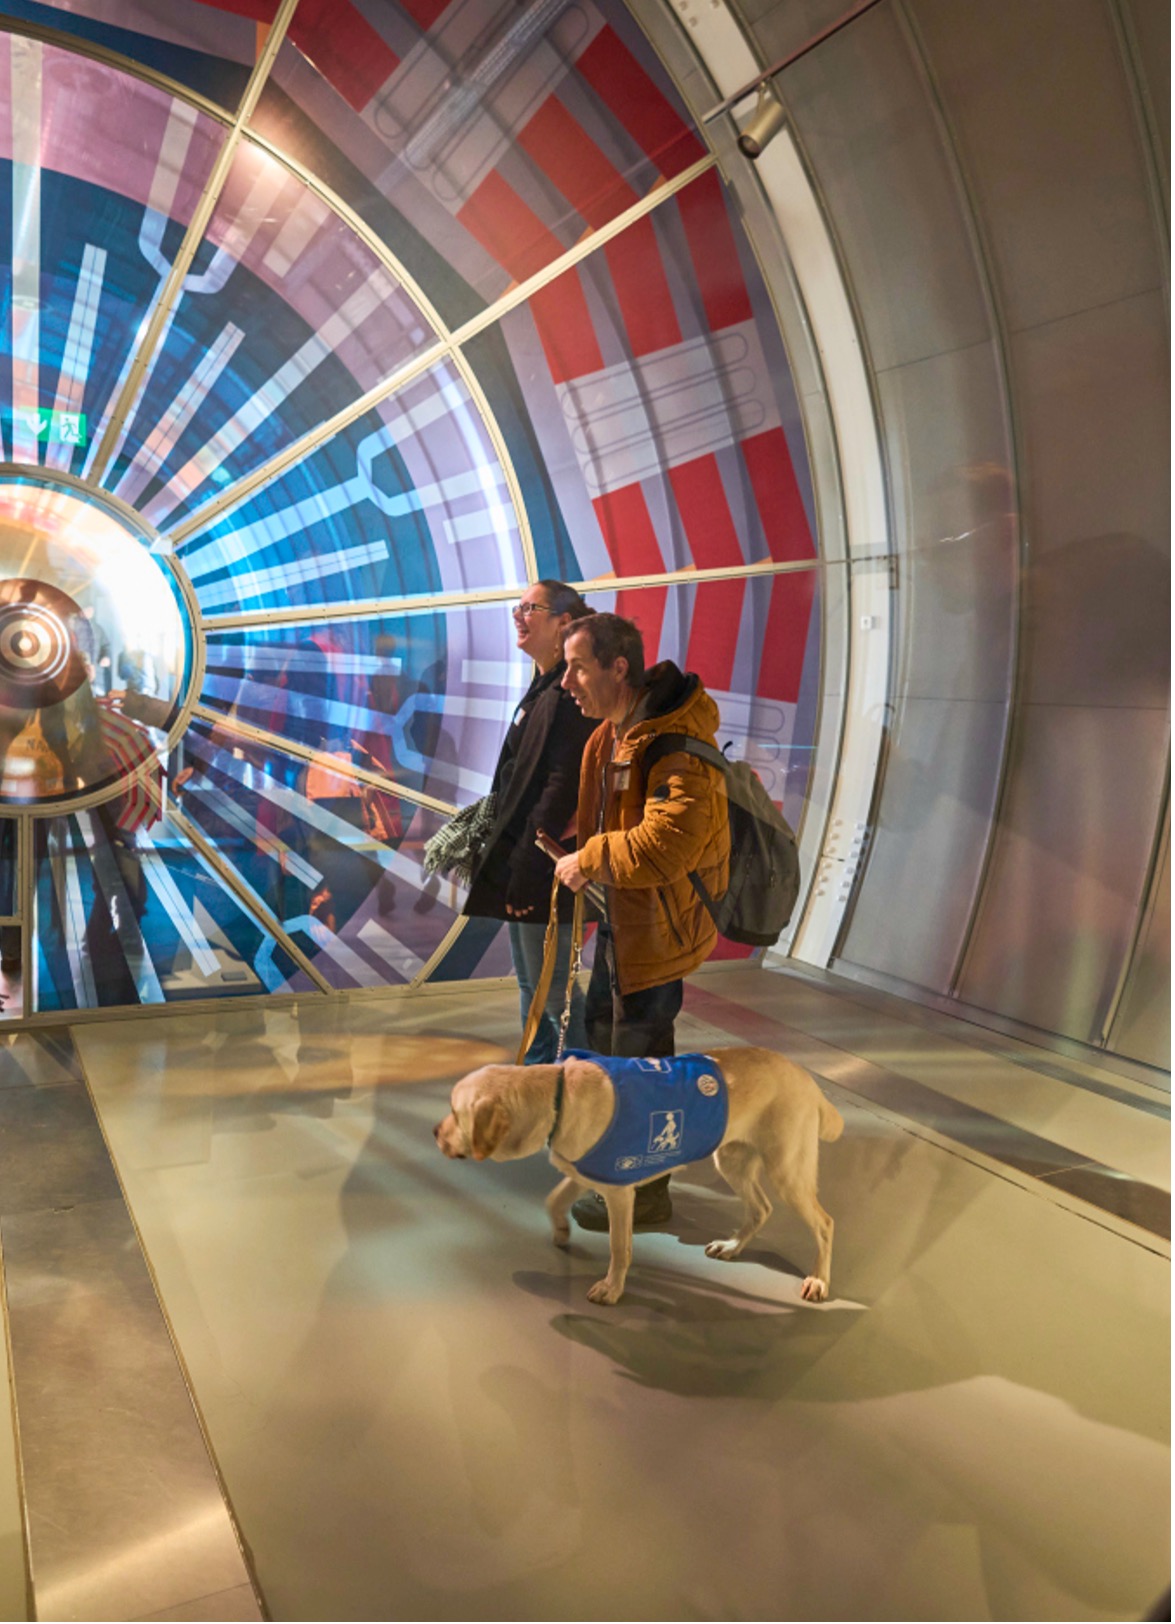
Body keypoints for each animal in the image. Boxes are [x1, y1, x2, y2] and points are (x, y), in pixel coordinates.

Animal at [434, 1052, 843, 1305]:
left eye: (454, 1111)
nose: (434, 1132)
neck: (558, 1097)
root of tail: (810, 1082)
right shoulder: (584, 1172)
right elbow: (552, 1201)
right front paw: (562, 1232)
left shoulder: (619, 1192)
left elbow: (620, 1247)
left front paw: (612, 1289)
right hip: (731, 1160)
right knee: (761, 1209)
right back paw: (732, 1246)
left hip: (787, 1170)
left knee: (825, 1223)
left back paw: (819, 1280)